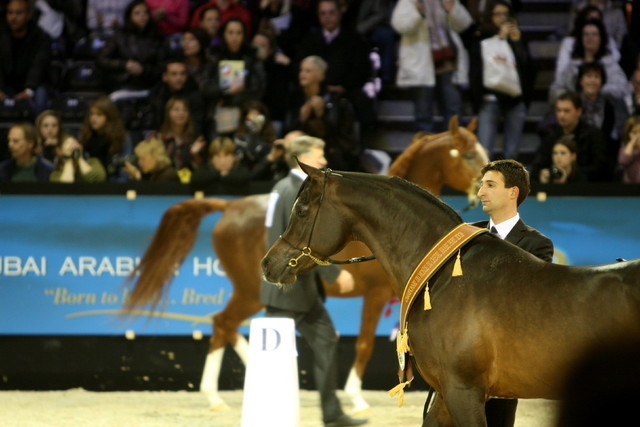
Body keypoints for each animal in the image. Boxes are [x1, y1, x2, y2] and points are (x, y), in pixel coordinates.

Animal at [123, 116, 488, 414]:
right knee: (223, 322)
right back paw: (216, 395)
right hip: (249, 292)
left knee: (224, 325)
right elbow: (365, 344)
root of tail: (230, 208)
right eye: (469, 155)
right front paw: (356, 399)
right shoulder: (375, 295)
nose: (480, 190)